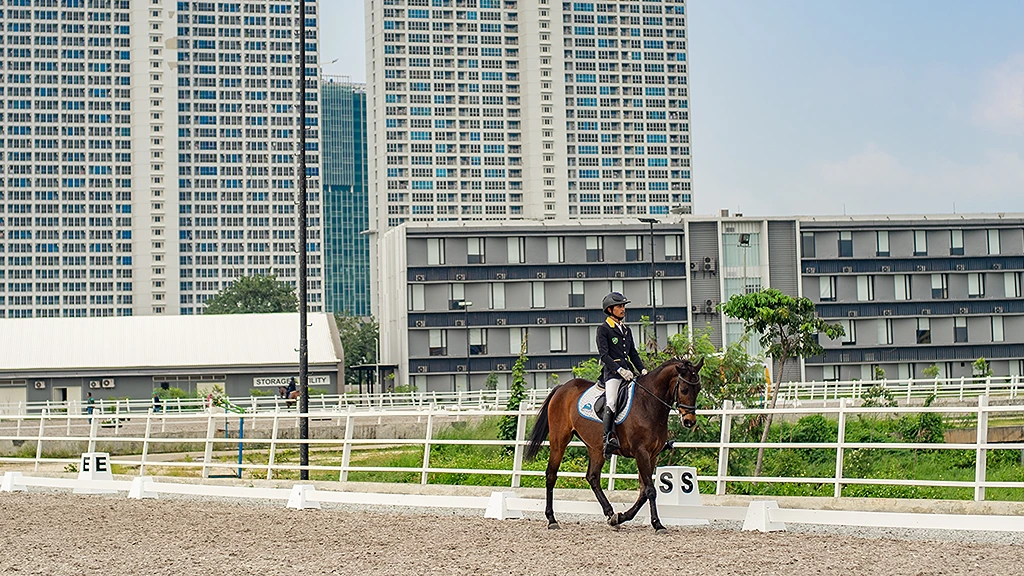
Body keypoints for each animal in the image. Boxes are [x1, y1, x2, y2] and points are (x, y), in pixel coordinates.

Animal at [524, 356, 700, 532]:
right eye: (684, 390)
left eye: (698, 389)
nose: (689, 421)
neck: (649, 403)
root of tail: (562, 388)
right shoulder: (641, 452)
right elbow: (650, 490)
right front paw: (657, 524)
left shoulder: (652, 455)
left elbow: (643, 491)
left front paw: (621, 517)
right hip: (559, 441)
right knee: (551, 475)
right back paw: (552, 520)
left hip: (595, 447)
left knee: (592, 477)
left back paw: (610, 514)